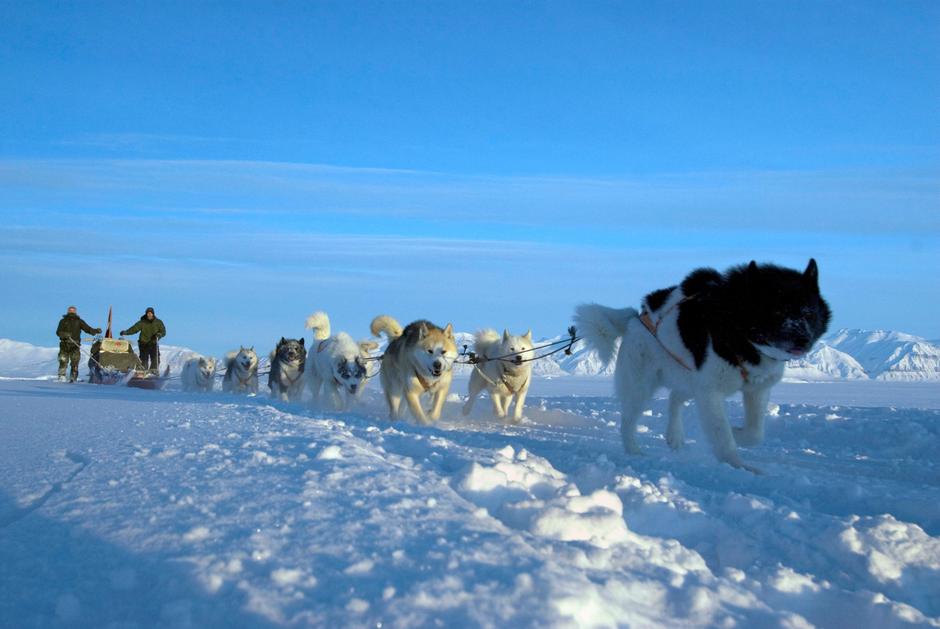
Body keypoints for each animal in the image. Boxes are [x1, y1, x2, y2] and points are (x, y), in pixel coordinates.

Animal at [572, 258, 828, 468]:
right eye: (777, 312)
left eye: (809, 313)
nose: (803, 339)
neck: (739, 333)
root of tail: (635, 317)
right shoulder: (710, 392)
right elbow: (722, 435)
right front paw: (739, 466)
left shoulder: (756, 389)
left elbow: (755, 433)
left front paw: (738, 433)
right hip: (641, 386)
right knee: (628, 420)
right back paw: (633, 451)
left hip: (688, 379)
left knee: (675, 398)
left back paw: (674, 435)